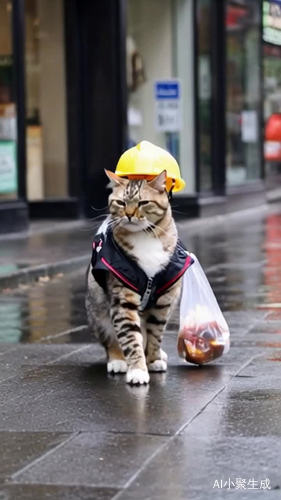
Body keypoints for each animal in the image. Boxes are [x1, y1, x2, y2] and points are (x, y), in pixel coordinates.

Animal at [85, 170, 182, 384]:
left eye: (143, 202)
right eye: (121, 202)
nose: (129, 215)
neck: (145, 236)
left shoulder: (164, 302)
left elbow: (155, 335)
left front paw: (153, 360)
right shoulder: (123, 299)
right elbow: (130, 337)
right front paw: (137, 370)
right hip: (97, 306)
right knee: (110, 339)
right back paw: (118, 360)